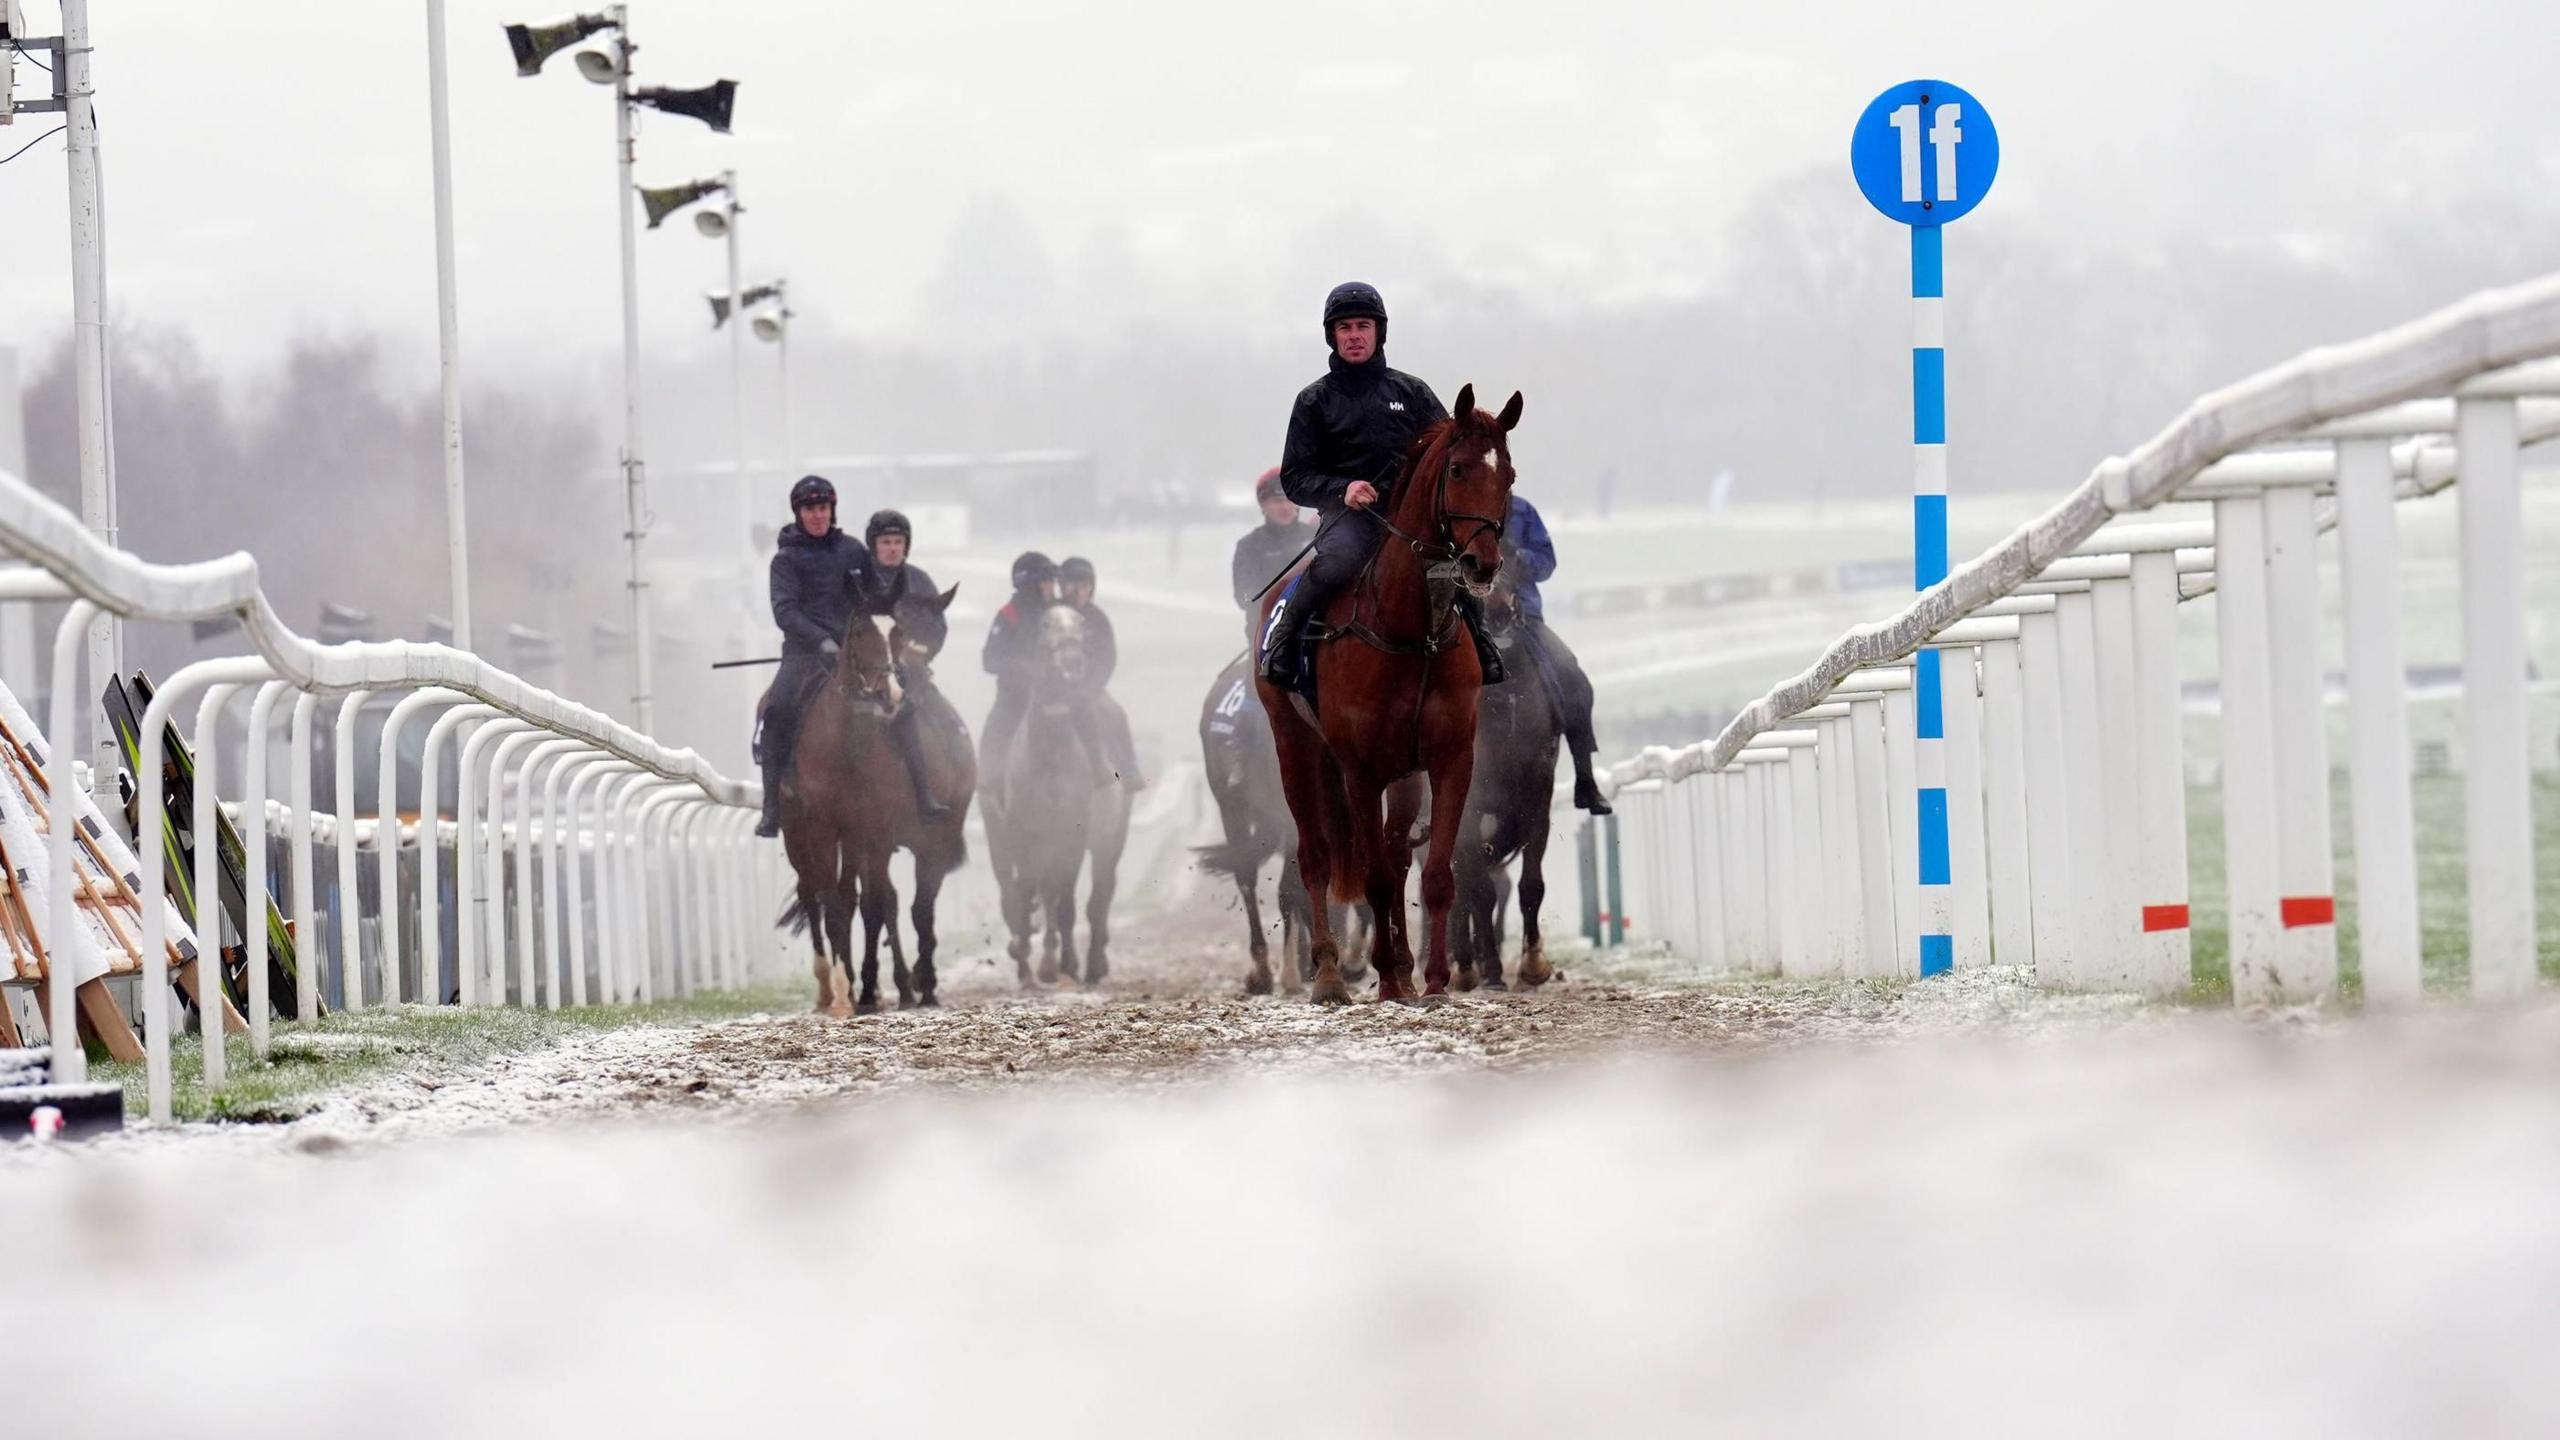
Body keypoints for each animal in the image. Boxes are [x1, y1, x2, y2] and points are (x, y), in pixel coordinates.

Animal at [1254, 379, 1515, 999]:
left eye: (1510, 475)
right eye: (1459, 469)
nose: (1483, 563)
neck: (1412, 632)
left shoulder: (1449, 758)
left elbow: (1434, 873)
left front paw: (1434, 981)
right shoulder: (1360, 768)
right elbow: (1369, 876)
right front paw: (1388, 981)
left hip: (1404, 774)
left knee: (1397, 856)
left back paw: (1399, 965)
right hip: (1297, 747)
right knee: (1317, 856)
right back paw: (1329, 974)